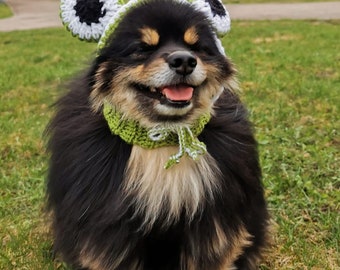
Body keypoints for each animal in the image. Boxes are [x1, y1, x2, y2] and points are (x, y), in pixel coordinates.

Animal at [46, 0, 270, 268]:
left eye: (197, 47)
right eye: (142, 48)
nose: (184, 60)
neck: (163, 137)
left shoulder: (213, 221)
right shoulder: (108, 225)